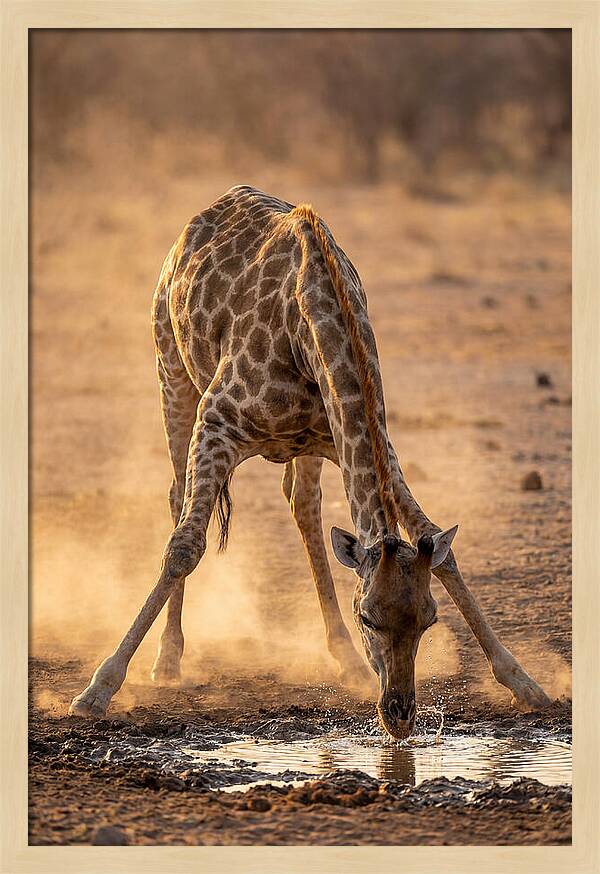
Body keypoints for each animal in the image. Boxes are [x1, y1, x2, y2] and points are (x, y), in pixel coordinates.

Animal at [69, 185, 551, 735]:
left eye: (428, 619)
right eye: (369, 617)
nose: (400, 716)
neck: (313, 325)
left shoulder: (363, 439)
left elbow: (440, 550)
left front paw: (524, 682)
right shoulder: (216, 422)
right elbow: (184, 548)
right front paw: (98, 688)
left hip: (305, 446)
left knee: (304, 505)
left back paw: (344, 659)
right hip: (171, 372)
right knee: (177, 500)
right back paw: (168, 660)